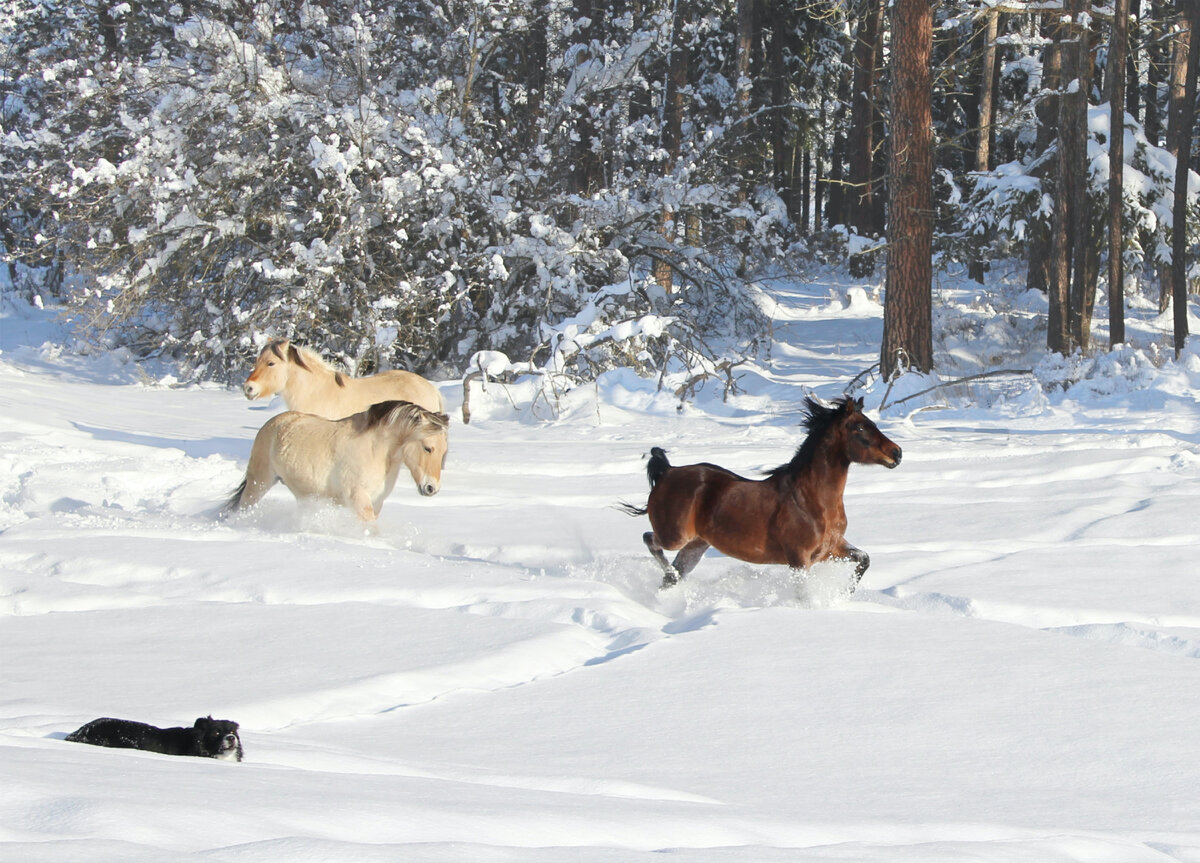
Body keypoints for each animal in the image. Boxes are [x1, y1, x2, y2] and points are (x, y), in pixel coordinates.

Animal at [225, 398, 451, 525]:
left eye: (443, 452)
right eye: (428, 448)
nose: (432, 488)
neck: (375, 451)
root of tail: (273, 423)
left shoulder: (376, 502)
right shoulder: (358, 500)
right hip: (259, 483)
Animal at [624, 396, 897, 588]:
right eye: (859, 428)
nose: (897, 453)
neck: (813, 500)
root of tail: (667, 472)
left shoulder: (831, 548)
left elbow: (864, 559)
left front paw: (844, 593)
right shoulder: (799, 559)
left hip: (696, 545)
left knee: (671, 577)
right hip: (675, 536)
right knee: (650, 540)